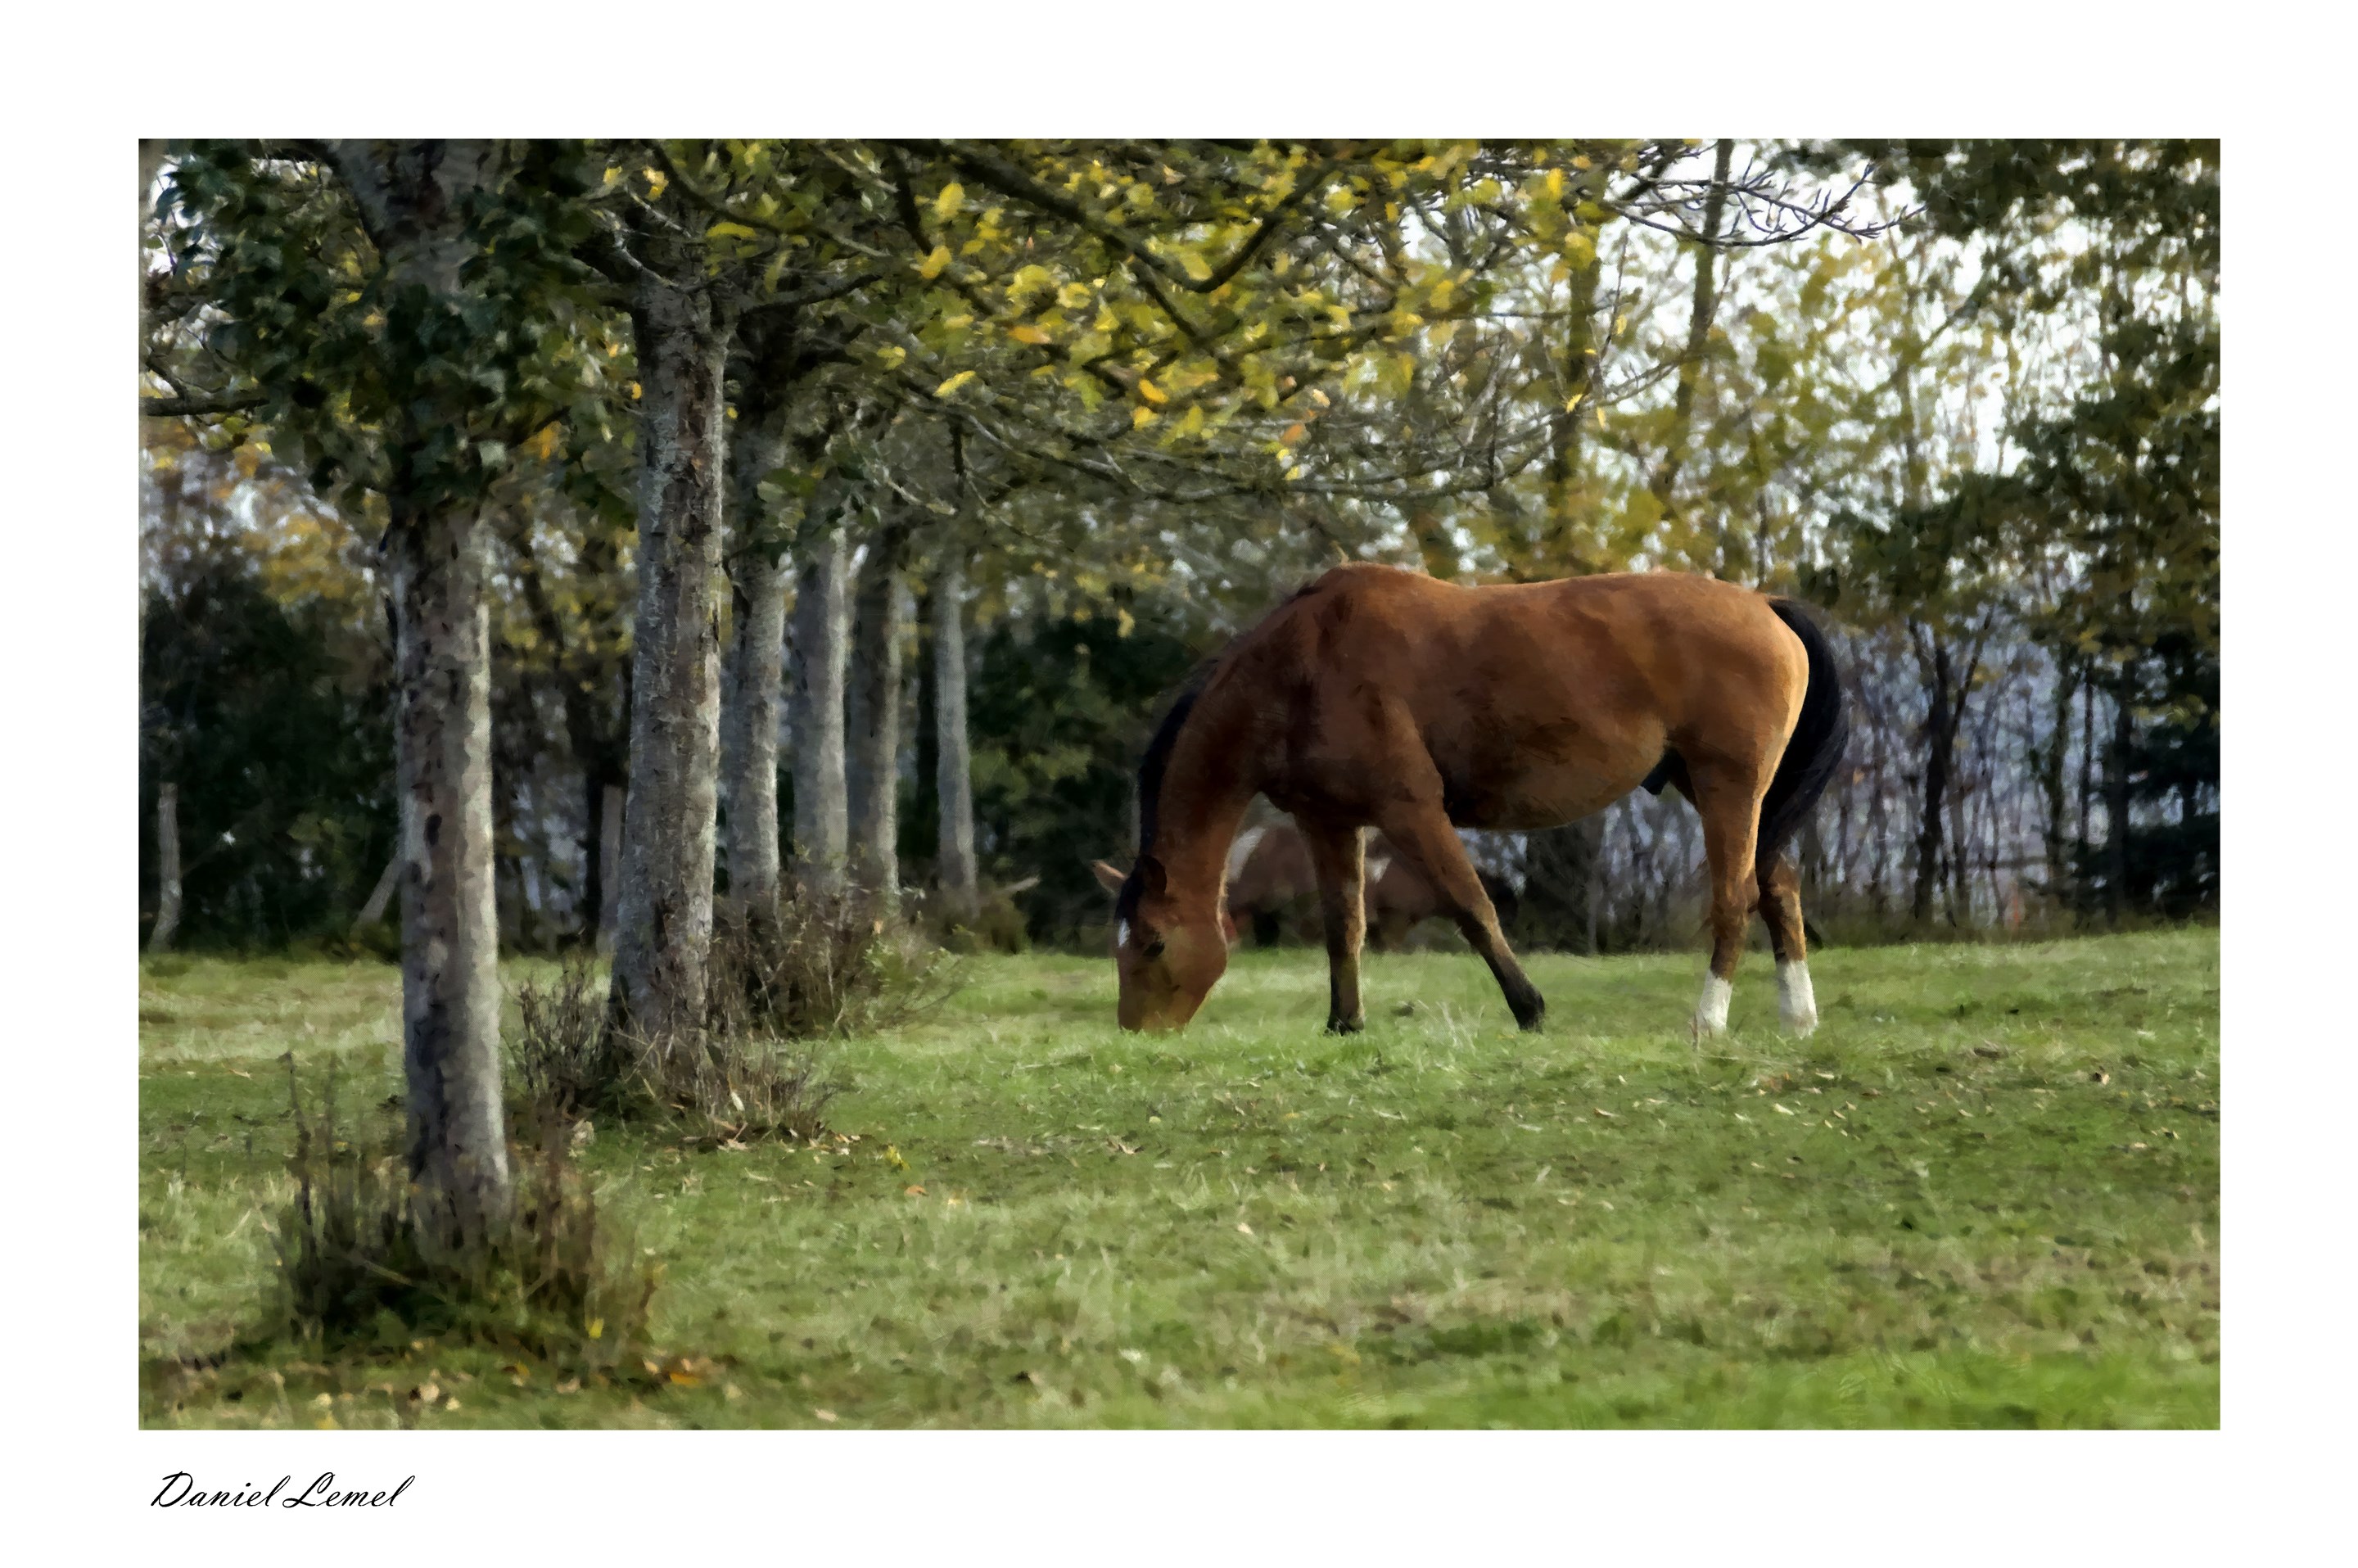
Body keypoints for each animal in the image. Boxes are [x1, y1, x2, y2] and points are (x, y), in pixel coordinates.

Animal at [1100, 562, 1847, 1037]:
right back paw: (1799, 1016)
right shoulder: (1329, 820)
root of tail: (1765, 605)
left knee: (1735, 898)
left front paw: (1530, 1008)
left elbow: (1471, 906)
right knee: (1778, 886)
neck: (1301, 666)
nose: (1137, 1031)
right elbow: (1345, 924)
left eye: (1154, 943)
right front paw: (1345, 1021)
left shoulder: (1409, 808)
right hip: (1723, 790)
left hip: (1729, 785)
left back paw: (1709, 1019)